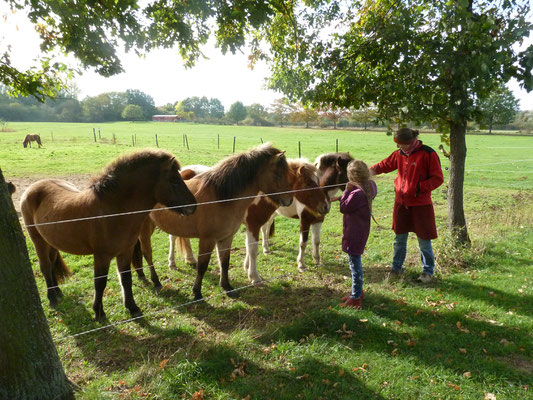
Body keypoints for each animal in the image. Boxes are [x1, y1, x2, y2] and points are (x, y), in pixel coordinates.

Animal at [20, 150, 197, 322]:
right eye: (174, 180)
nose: (193, 205)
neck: (113, 211)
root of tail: (31, 189)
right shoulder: (102, 256)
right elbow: (100, 282)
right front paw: (99, 313)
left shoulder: (125, 251)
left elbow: (126, 279)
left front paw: (133, 308)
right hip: (38, 240)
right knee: (45, 266)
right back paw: (52, 298)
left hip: (50, 242)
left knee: (51, 264)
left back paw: (58, 292)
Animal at [132, 144, 290, 300]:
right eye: (278, 174)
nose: (288, 201)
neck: (221, 198)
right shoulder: (207, 240)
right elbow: (202, 266)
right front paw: (197, 293)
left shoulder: (226, 238)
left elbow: (225, 263)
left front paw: (227, 287)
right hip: (145, 229)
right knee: (147, 253)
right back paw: (156, 281)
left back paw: (142, 275)